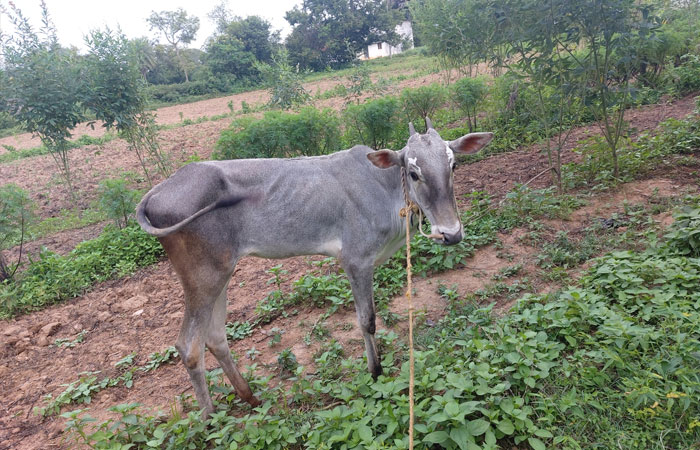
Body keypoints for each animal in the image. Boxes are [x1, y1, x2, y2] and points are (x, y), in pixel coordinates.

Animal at [136, 120, 493, 417]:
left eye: (453, 164)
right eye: (414, 173)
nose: (451, 233)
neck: (386, 190)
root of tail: (156, 192)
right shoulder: (356, 260)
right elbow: (367, 321)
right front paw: (376, 373)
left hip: (221, 273)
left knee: (215, 336)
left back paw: (250, 397)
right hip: (203, 276)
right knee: (189, 346)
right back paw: (211, 420)